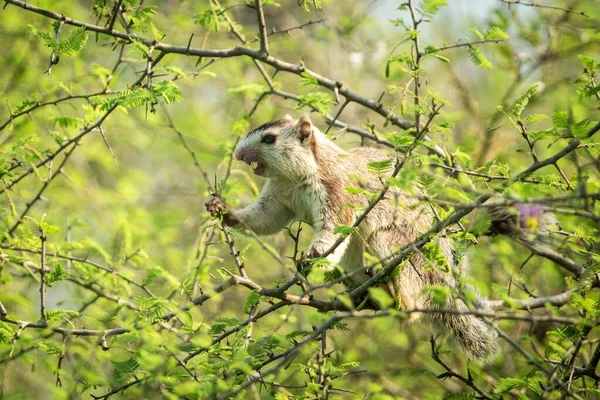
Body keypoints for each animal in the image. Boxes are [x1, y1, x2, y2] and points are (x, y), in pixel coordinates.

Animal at [205, 114, 496, 360]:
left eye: (269, 138)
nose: (238, 153)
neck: (294, 177)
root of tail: (441, 288)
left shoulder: (337, 192)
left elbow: (335, 228)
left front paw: (312, 255)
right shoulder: (277, 198)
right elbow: (263, 219)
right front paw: (223, 210)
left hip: (392, 246)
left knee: (411, 304)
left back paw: (399, 298)